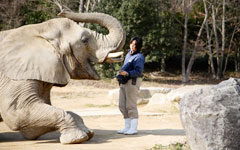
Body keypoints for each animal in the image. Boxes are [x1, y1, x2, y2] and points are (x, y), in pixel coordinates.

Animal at [0, 10, 126, 144]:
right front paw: (77, 139)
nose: (62, 12)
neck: (39, 29)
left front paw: (87, 132)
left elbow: (31, 129)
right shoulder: (14, 74)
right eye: (85, 40)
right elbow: (16, 114)